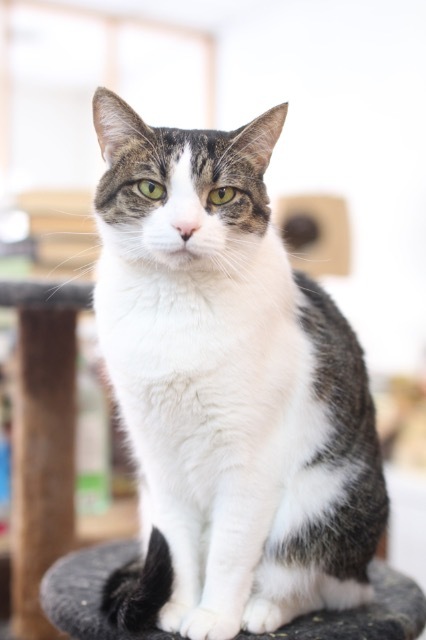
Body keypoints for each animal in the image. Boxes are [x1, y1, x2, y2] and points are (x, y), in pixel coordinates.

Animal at [91, 86, 388, 640]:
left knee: (316, 582)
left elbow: (230, 550)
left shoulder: (250, 461)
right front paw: (179, 606)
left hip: (322, 505)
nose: (186, 227)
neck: (176, 308)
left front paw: (212, 616)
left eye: (222, 196)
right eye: (151, 188)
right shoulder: (159, 459)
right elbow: (177, 544)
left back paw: (262, 609)